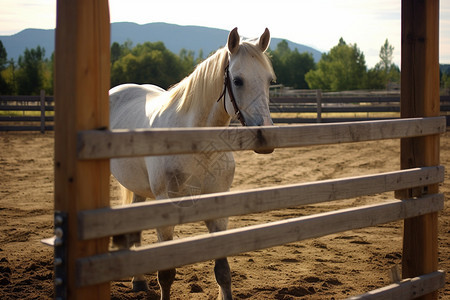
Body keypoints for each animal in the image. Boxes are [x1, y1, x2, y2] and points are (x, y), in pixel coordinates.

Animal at [110, 28, 276, 300]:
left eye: (269, 80)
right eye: (238, 80)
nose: (266, 136)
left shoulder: (218, 210)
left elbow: (223, 271)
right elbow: (166, 275)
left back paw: (139, 281)